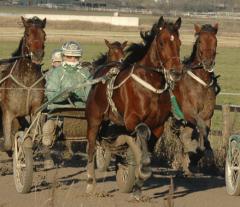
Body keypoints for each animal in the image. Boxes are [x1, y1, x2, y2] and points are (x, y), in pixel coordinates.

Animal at [0, 16, 46, 155]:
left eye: (44, 35)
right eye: (27, 34)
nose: (37, 55)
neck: (26, 82)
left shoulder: (35, 109)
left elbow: (34, 135)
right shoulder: (8, 112)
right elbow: (7, 144)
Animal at [85, 15, 181, 196]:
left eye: (179, 42)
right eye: (162, 42)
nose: (176, 72)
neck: (152, 85)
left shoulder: (158, 126)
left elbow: (148, 145)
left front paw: (139, 182)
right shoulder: (131, 120)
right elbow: (142, 131)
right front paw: (142, 169)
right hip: (94, 120)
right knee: (91, 147)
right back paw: (90, 182)